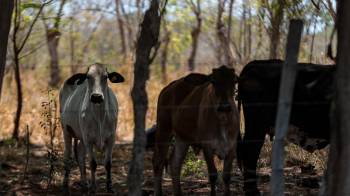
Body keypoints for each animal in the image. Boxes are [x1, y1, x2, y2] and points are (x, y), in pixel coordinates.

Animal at [59, 63, 125, 193]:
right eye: (88, 77)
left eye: (105, 77)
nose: (96, 96)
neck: (100, 116)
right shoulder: (89, 140)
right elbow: (93, 163)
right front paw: (93, 187)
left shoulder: (111, 138)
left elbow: (108, 163)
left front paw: (109, 187)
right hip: (66, 131)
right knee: (68, 156)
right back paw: (65, 183)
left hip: (81, 137)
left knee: (80, 154)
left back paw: (84, 183)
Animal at [153, 66, 241, 196]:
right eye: (213, 81)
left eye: (234, 81)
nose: (224, 107)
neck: (222, 121)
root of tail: (167, 88)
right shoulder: (207, 147)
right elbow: (213, 175)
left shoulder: (232, 147)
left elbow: (226, 176)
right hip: (163, 130)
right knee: (158, 162)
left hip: (182, 139)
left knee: (175, 163)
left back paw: (178, 192)